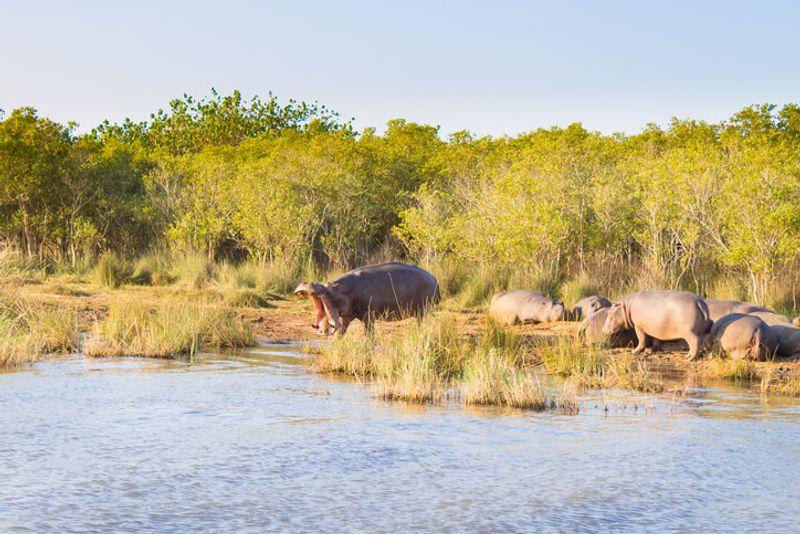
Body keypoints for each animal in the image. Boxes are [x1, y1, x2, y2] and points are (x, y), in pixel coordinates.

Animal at [294, 262, 440, 338]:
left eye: (330, 286)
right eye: (328, 283)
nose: (308, 282)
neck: (345, 290)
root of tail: (434, 278)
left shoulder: (368, 316)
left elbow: (369, 334)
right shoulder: (346, 317)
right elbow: (341, 333)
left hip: (422, 312)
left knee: (421, 324)